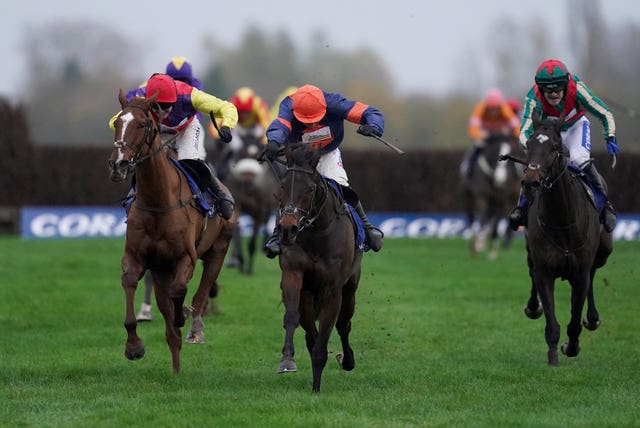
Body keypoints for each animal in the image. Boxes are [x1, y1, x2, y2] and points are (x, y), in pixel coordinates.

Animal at [107, 92, 238, 372]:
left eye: (142, 124)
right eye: (118, 123)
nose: (118, 164)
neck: (159, 200)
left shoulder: (185, 257)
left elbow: (180, 291)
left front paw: (183, 315)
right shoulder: (138, 257)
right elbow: (130, 282)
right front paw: (133, 346)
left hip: (219, 249)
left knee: (201, 292)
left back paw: (194, 329)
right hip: (160, 270)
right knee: (170, 329)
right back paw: (176, 368)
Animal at [219, 135, 278, 274]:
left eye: (256, 154)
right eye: (241, 153)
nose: (248, 179)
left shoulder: (260, 209)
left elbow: (252, 240)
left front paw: (249, 268)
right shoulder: (236, 205)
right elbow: (236, 236)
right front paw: (239, 260)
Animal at [270, 143, 362, 392]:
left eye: (310, 189)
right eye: (282, 186)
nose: (287, 229)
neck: (317, 234)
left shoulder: (333, 288)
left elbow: (330, 327)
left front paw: (316, 387)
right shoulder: (293, 274)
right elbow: (292, 317)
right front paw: (287, 360)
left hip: (350, 288)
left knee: (344, 323)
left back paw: (347, 360)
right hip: (308, 296)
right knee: (310, 330)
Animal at [512, 112, 612, 366]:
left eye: (554, 148)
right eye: (529, 144)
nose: (531, 181)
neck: (562, 221)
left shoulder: (580, 273)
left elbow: (575, 320)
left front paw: (572, 346)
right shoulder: (545, 271)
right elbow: (551, 323)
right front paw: (553, 359)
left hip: (604, 250)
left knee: (594, 274)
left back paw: (593, 319)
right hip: (530, 251)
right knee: (531, 270)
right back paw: (533, 307)